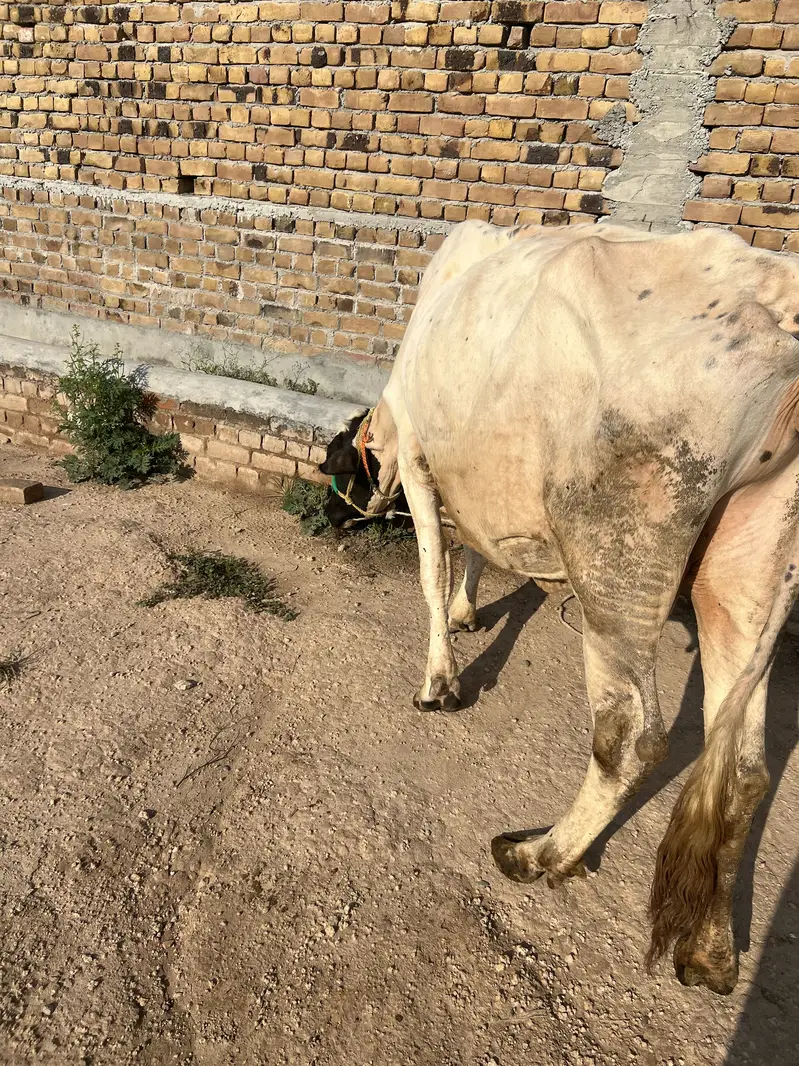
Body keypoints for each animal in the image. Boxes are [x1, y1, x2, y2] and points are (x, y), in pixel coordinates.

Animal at [319, 219, 799, 995]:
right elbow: (476, 546)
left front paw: (439, 679)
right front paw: (468, 613)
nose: (331, 516)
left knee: (630, 735)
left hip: (615, 551)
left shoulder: (423, 460)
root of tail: (778, 300)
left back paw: (541, 854)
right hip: (750, 562)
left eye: (337, 463)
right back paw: (711, 948)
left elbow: (432, 565)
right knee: (747, 771)